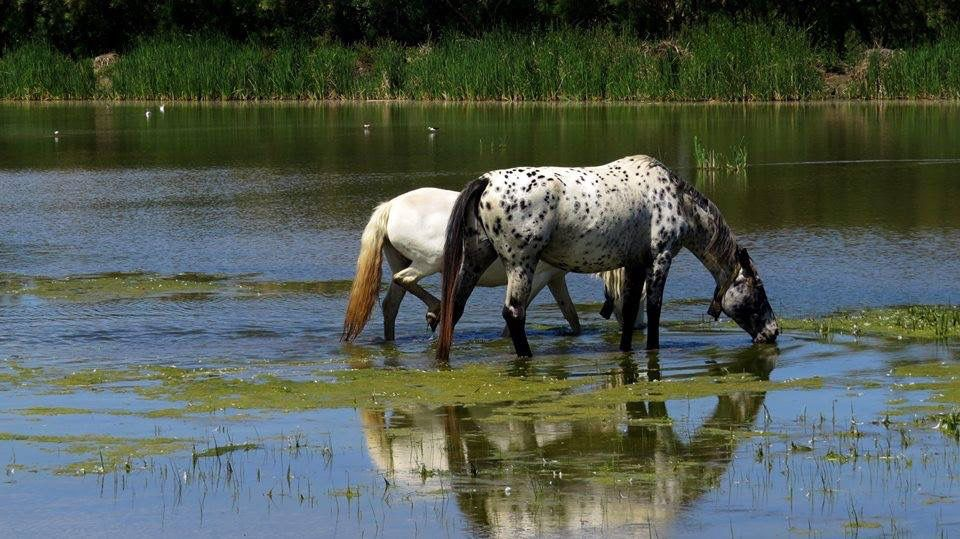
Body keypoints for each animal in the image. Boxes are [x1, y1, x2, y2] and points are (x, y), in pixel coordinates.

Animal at [341, 188, 633, 342]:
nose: (638, 326)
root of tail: (390, 206)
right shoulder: (538, 278)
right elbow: (521, 310)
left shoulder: (555, 278)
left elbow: (571, 314)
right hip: (429, 262)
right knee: (405, 279)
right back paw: (436, 310)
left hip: (401, 260)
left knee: (391, 303)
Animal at [436, 155, 779, 362]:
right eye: (758, 289)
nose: (773, 332)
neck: (677, 200)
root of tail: (486, 182)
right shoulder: (660, 258)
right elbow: (653, 310)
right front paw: (652, 349)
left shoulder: (635, 263)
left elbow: (628, 310)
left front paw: (626, 351)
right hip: (521, 264)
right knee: (514, 314)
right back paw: (526, 358)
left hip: (477, 258)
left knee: (454, 306)